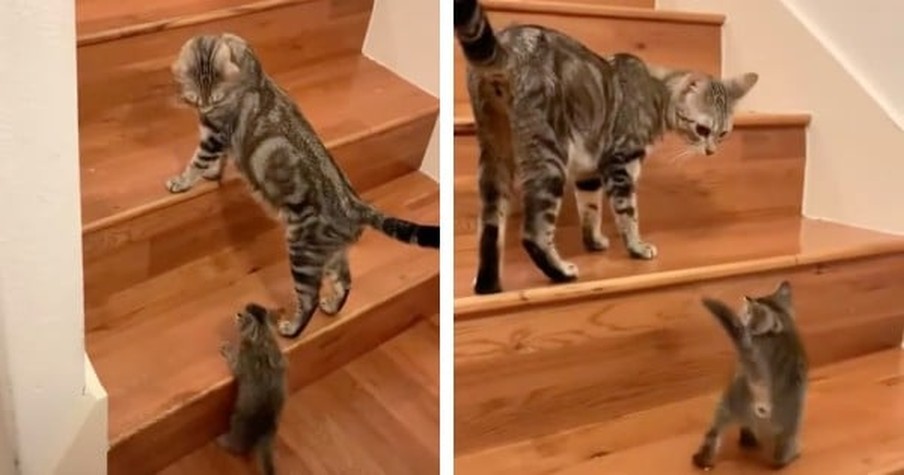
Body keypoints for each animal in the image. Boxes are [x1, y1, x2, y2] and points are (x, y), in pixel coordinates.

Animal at [167, 32, 442, 338]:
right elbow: (217, 162)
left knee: (309, 299)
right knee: (346, 280)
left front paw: (183, 181)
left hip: (303, 253)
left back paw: (291, 328)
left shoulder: (215, 135)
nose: (205, 107)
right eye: (195, 98)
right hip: (330, 255)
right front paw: (213, 175)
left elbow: (198, 161)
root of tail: (355, 205)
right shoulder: (221, 136)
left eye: (216, 98)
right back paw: (332, 306)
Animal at [218, 304, 286, 475]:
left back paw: (223, 441)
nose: (237, 313)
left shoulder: (242, 359)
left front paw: (228, 348)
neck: (262, 336)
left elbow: (235, 364)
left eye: (241, 315)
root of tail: (265, 429)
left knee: (237, 446)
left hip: (237, 421)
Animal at [456, 0, 760, 294]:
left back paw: (488, 284)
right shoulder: (621, 162)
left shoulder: (589, 170)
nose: (711, 151)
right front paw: (637, 247)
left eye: (723, 134)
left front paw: (594, 241)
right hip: (549, 156)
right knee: (534, 233)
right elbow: (627, 212)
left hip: (495, 152)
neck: (656, 92)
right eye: (703, 130)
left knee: (490, 227)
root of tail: (510, 42)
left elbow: (591, 209)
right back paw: (561, 272)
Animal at [692, 280, 812, 470]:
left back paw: (705, 458)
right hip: (792, 417)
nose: (742, 318)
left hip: (727, 402)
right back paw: (793, 454)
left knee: (713, 433)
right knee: (782, 452)